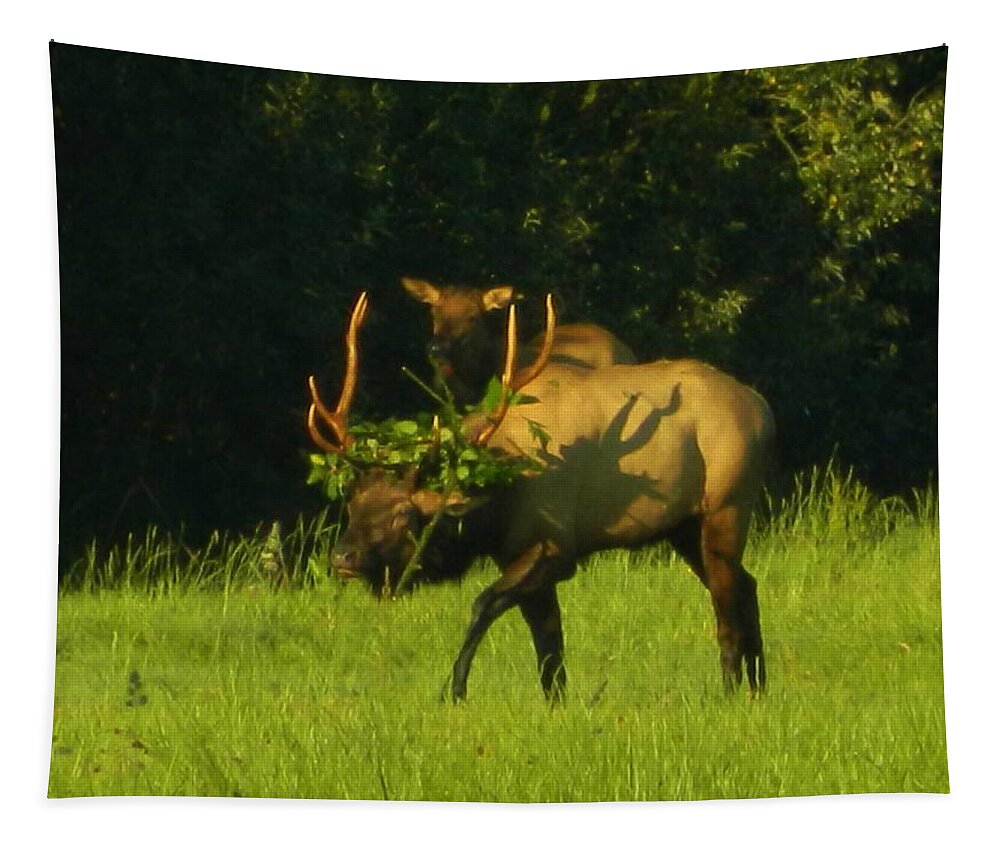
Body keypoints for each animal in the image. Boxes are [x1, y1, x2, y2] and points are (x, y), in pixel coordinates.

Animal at [304, 290, 772, 704]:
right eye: (352, 503)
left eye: (403, 515)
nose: (342, 557)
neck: (498, 504)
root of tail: (761, 407)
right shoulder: (514, 552)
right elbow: (549, 651)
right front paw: (555, 706)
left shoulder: (556, 548)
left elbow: (483, 606)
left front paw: (454, 690)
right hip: (683, 525)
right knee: (745, 584)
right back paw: (758, 687)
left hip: (727, 505)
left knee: (726, 602)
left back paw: (731, 690)